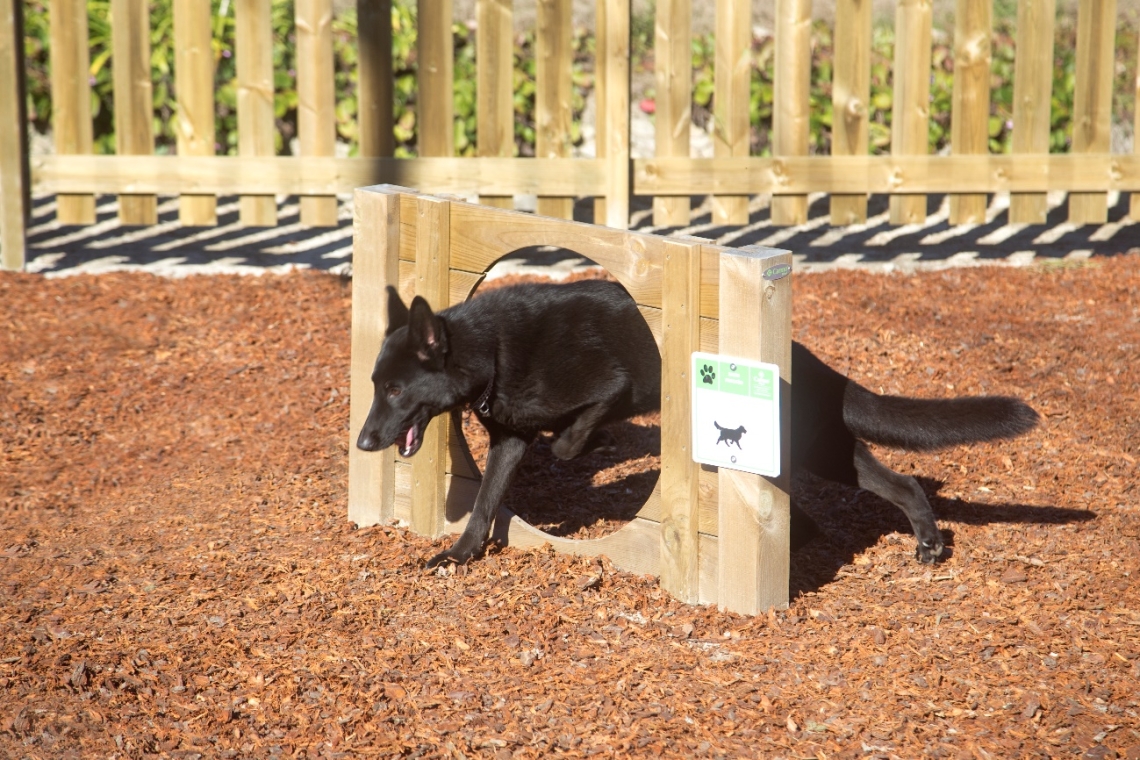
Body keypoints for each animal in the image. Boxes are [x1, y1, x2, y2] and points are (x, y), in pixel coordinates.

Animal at [357, 279, 1044, 565]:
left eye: (396, 388)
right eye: (374, 385)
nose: (364, 441)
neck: (491, 352)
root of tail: (812, 362)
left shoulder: (614, 387)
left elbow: (574, 436)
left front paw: (582, 446)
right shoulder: (507, 443)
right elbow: (482, 506)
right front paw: (458, 556)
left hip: (815, 451)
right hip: (830, 454)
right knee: (894, 483)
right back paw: (917, 541)